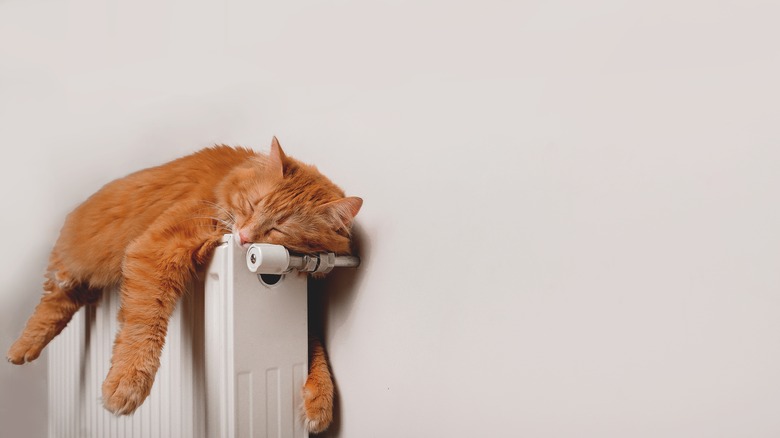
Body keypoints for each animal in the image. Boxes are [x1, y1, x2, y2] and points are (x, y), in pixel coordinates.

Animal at [6, 138, 362, 434]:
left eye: (278, 229)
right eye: (252, 205)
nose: (244, 237)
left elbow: (314, 345)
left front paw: (320, 401)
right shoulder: (156, 248)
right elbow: (144, 326)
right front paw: (127, 383)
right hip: (67, 271)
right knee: (51, 304)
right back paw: (21, 349)